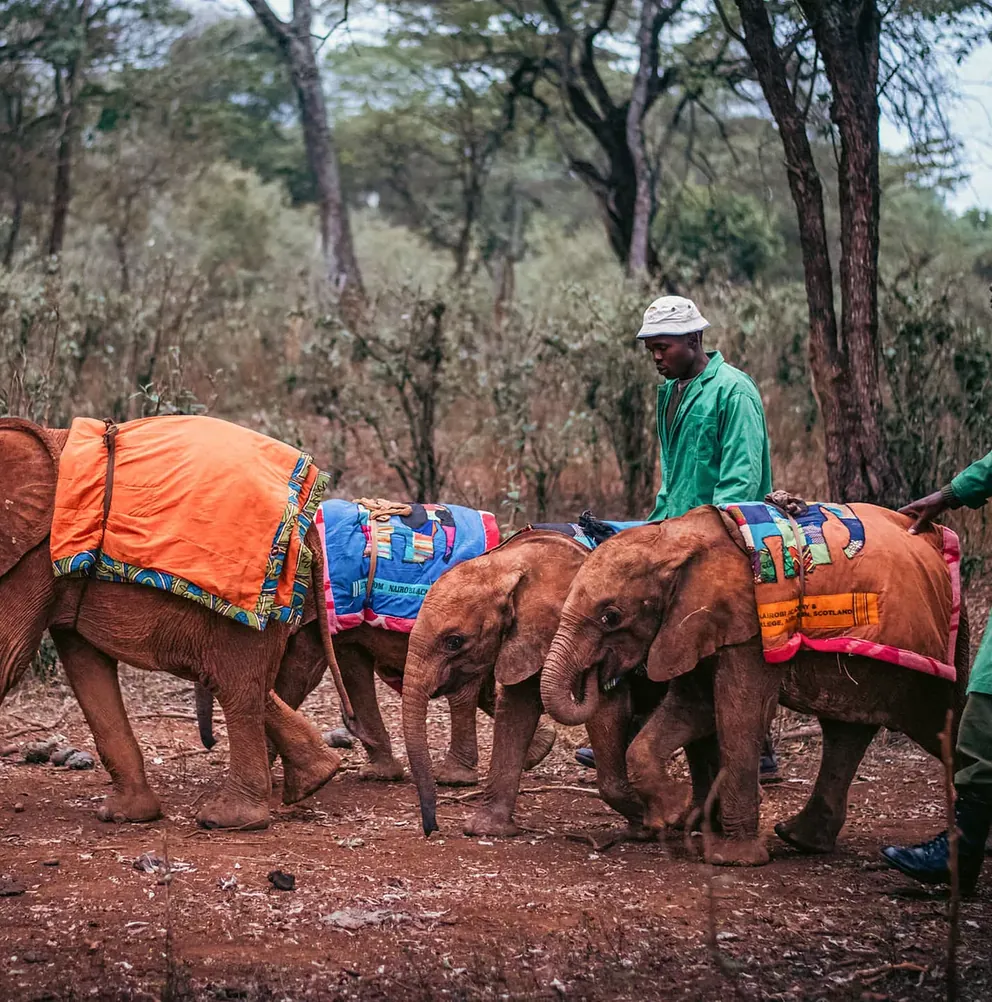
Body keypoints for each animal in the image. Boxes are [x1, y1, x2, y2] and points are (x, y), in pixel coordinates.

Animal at [0, 418, 347, 831]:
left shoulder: (32, 556)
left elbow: (8, 656)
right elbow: (86, 664)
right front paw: (126, 815)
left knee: (235, 686)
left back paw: (227, 819)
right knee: (248, 685)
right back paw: (315, 779)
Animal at [194, 620, 559, 787]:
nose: (211, 743)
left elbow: (299, 674)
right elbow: (351, 667)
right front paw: (380, 774)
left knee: (464, 690)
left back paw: (454, 777)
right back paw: (539, 751)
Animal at [401, 528, 682, 839]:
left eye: (454, 642)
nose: (432, 829)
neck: (507, 563)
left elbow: (606, 710)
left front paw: (648, 824)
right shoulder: (527, 637)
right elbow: (517, 707)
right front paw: (487, 829)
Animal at [540, 506, 971, 866]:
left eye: (611, 616)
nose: (599, 674)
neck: (672, 538)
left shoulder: (749, 624)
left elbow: (739, 711)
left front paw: (730, 857)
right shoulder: (693, 624)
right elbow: (695, 705)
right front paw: (675, 814)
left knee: (942, 722)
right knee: (846, 731)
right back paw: (800, 840)